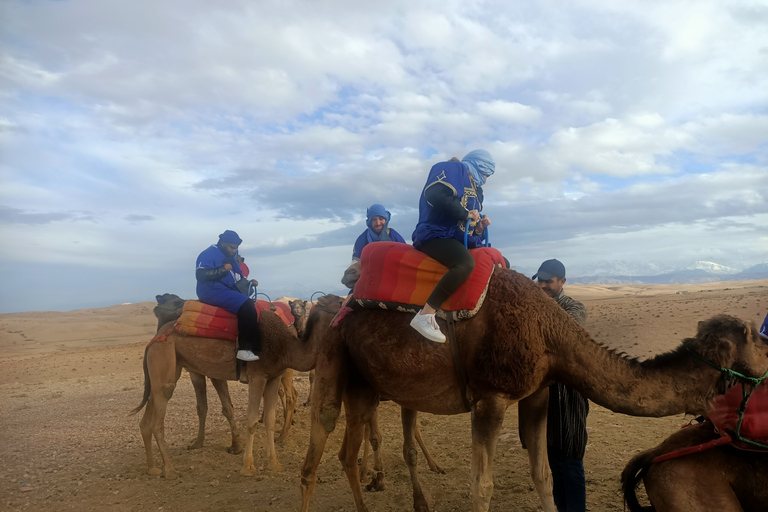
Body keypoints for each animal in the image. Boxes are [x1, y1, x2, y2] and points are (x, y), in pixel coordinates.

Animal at [132, 296, 316, 480]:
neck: (282, 343)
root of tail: (156, 338)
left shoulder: (273, 377)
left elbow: (269, 420)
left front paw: (274, 464)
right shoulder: (256, 376)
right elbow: (250, 420)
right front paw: (247, 466)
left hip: (169, 366)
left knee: (147, 418)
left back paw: (153, 468)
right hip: (164, 357)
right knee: (158, 416)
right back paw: (170, 470)